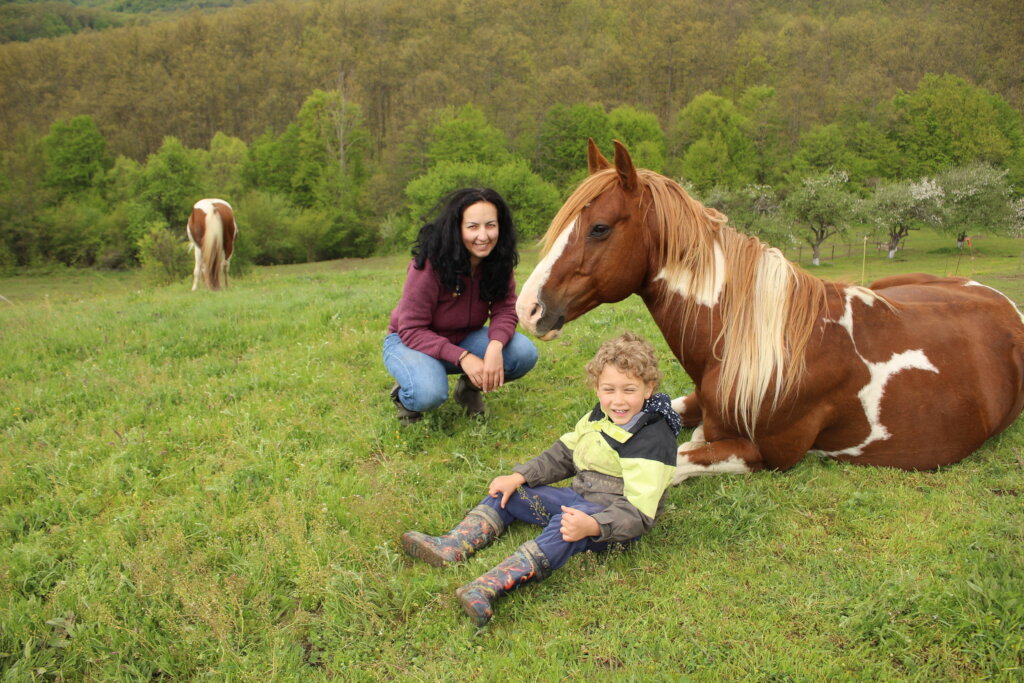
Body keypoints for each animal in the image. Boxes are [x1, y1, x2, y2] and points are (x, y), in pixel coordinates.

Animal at [517, 139, 1024, 482]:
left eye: (599, 228)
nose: (528, 307)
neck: (759, 343)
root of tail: (1005, 303)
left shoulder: (768, 455)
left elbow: (675, 458)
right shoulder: (697, 401)